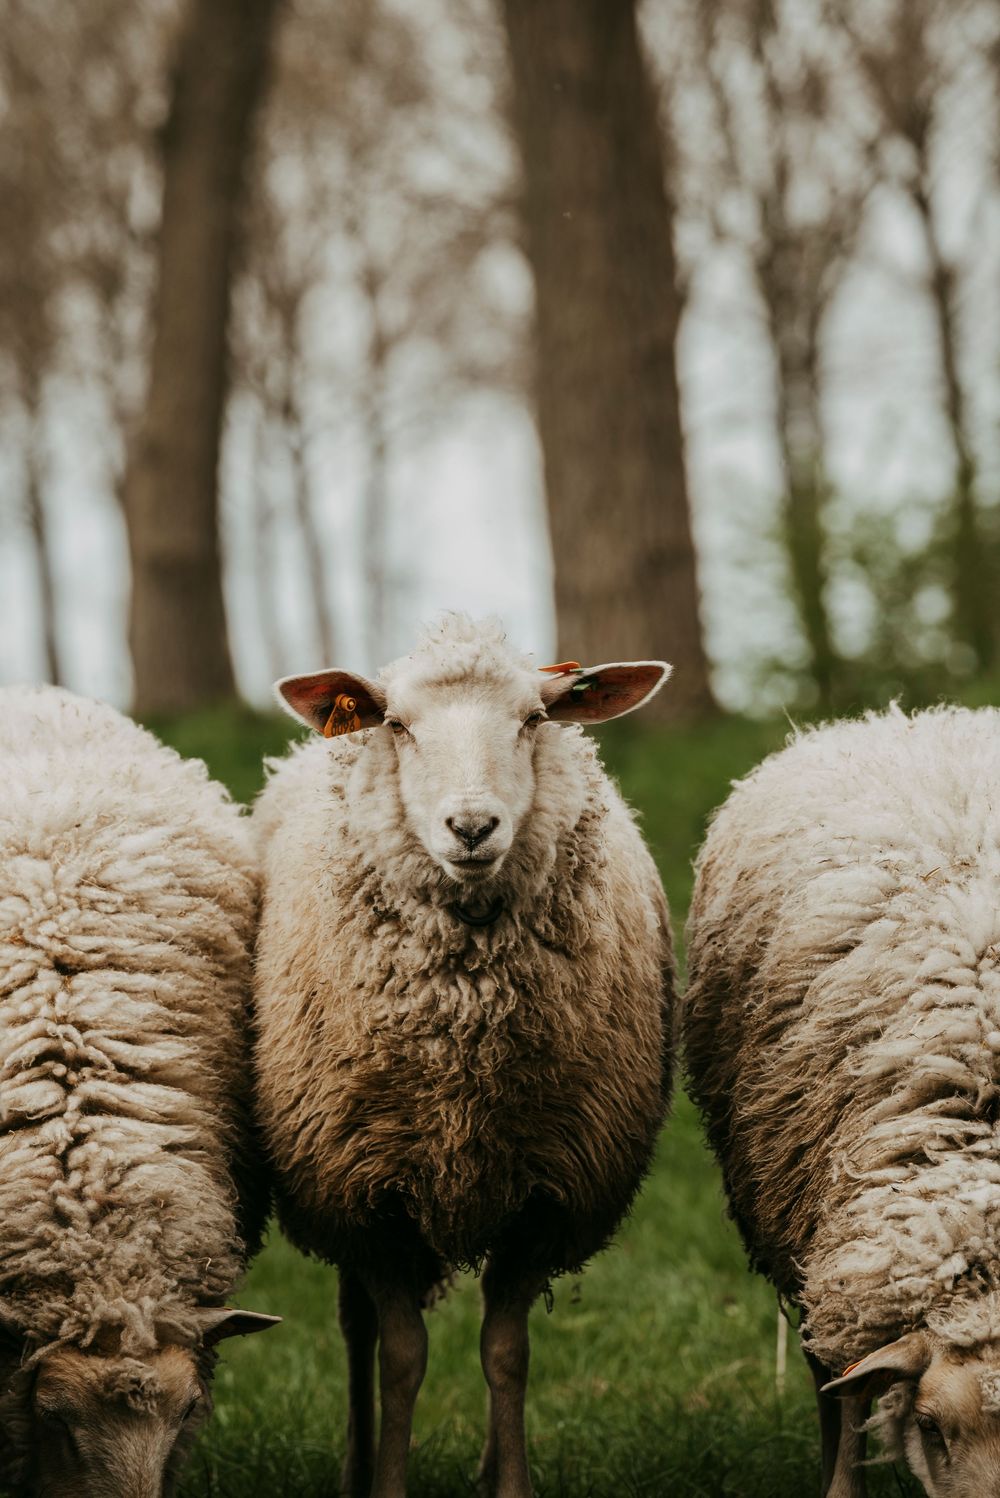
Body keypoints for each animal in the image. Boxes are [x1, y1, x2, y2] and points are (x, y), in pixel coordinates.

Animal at [253, 614, 675, 1498]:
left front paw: (510, 1484)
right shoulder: (365, 1186)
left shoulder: (546, 1187)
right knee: (355, 1328)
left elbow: (506, 1352)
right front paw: (386, 1482)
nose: (473, 828)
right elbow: (402, 1356)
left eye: (533, 720)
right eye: (398, 726)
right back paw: (355, 1463)